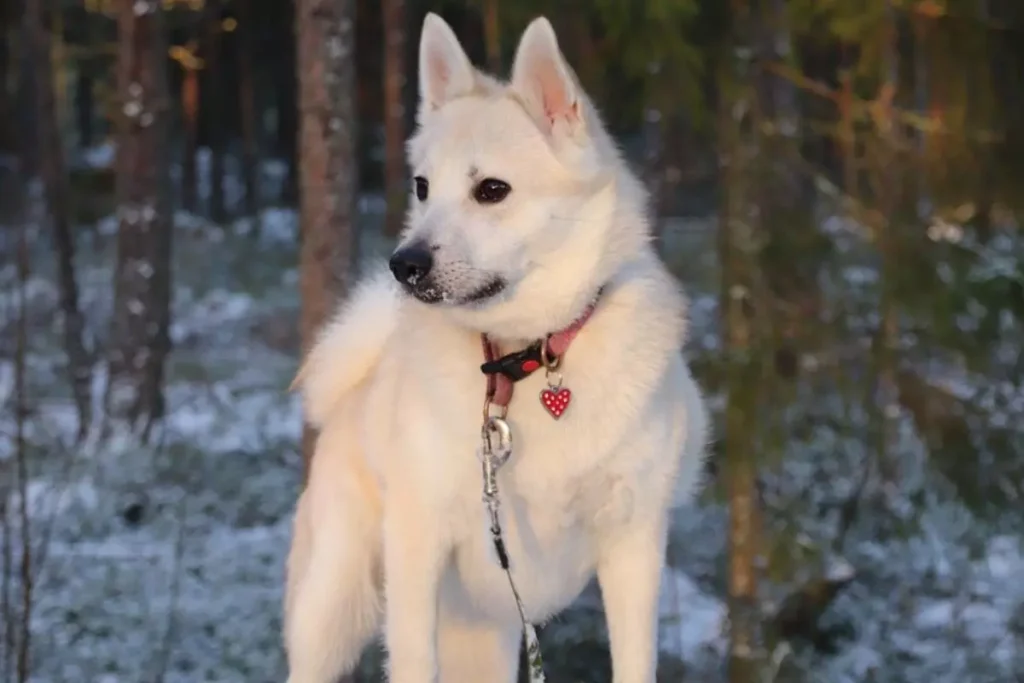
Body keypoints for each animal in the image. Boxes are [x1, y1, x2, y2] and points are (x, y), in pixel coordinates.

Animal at [284, 14, 708, 683]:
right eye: (422, 186)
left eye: (491, 190)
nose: (402, 265)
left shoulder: (635, 544)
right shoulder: (417, 545)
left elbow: (635, 660)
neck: (526, 361)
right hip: (332, 610)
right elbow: (411, 659)